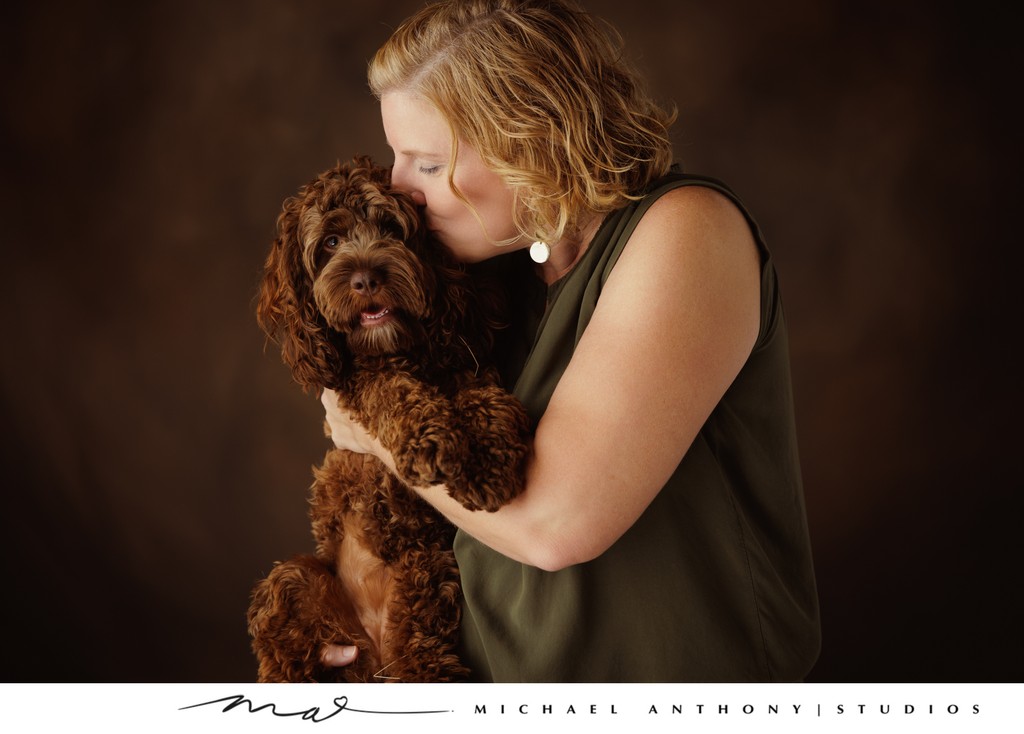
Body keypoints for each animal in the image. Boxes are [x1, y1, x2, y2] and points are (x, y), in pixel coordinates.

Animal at [248, 154, 532, 679]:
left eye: (391, 229)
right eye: (331, 243)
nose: (365, 278)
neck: (403, 350)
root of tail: (370, 648)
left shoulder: (464, 364)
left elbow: (486, 397)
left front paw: (489, 465)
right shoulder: (359, 382)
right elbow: (391, 392)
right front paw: (431, 440)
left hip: (425, 579)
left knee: (419, 654)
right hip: (299, 580)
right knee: (281, 649)